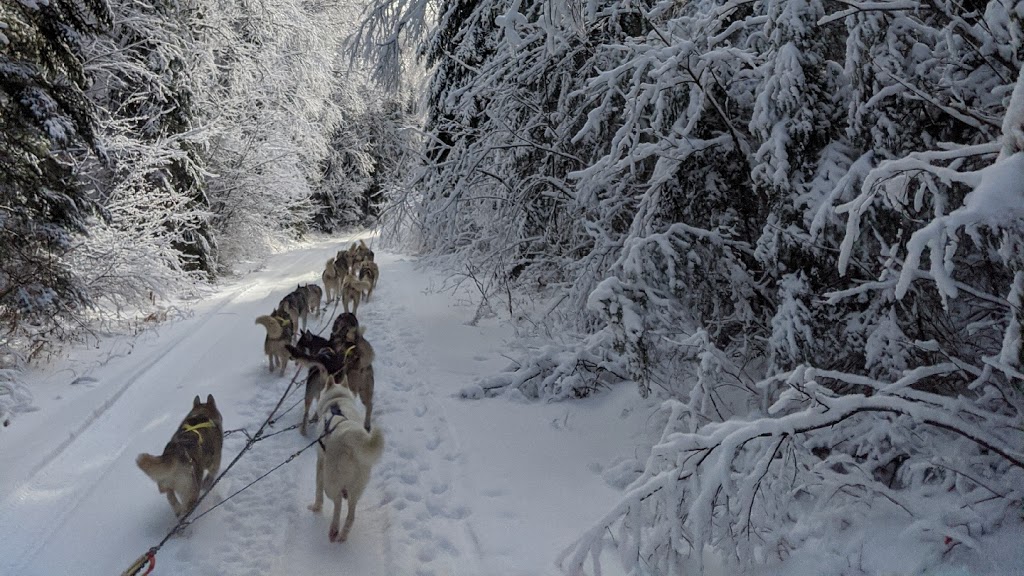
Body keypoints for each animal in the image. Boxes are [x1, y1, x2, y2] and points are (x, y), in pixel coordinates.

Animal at [307, 375, 385, 541]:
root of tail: (349, 437)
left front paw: (316, 507)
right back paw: (343, 534)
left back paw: (334, 530)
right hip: (358, 485)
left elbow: (318, 490)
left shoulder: (320, 461)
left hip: (330, 481)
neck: (337, 400)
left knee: (337, 504)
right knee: (351, 513)